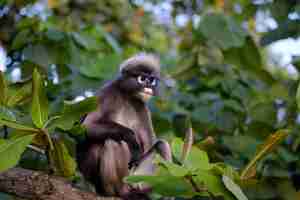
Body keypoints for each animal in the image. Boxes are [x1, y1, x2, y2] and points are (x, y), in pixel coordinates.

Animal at [76, 53, 171, 200]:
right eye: (142, 79)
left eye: (151, 80)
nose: (148, 86)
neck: (127, 95)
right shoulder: (108, 93)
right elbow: (87, 127)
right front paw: (131, 137)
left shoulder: (141, 107)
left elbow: (149, 144)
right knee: (114, 141)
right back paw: (121, 193)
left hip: (134, 175)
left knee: (162, 145)